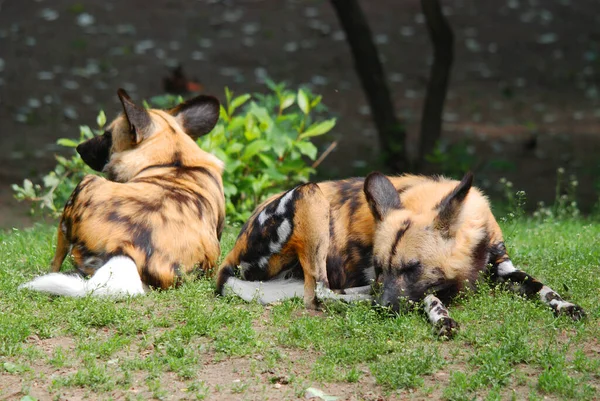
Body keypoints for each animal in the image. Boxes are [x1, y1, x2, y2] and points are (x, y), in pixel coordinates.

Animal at [21, 89, 225, 296]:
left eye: (107, 135)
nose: (79, 148)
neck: (175, 161)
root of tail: (126, 250)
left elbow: (55, 260)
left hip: (85, 184)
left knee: (57, 260)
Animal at [217, 171, 584, 334]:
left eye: (411, 268)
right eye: (380, 268)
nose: (382, 306)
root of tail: (227, 259)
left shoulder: (503, 267)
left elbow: (544, 289)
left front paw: (566, 305)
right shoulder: (412, 288)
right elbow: (430, 296)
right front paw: (442, 317)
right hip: (309, 195)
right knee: (319, 291)